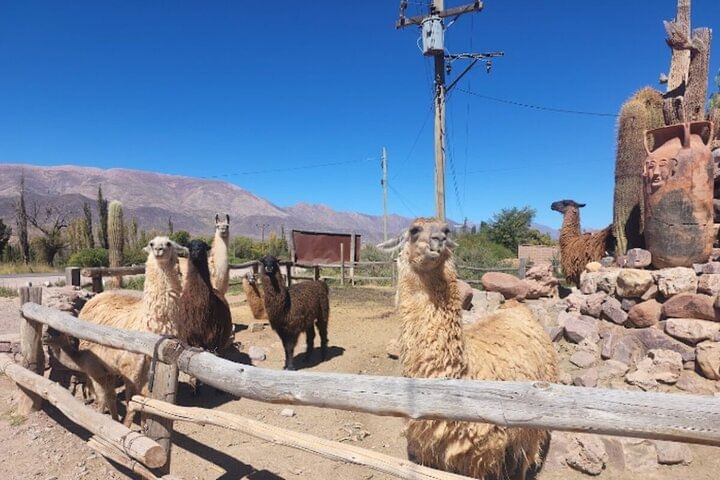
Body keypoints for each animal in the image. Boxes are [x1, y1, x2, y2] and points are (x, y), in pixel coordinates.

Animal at [75, 236, 186, 426]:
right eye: (151, 243)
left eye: (169, 243)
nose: (159, 249)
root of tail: (95, 296)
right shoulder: (132, 373)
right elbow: (131, 404)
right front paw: (128, 427)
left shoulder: (145, 376)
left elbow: (144, 404)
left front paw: (142, 426)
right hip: (94, 360)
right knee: (104, 394)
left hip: (108, 365)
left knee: (109, 393)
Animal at [380, 218, 558, 480]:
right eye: (414, 230)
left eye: (447, 230)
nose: (439, 239)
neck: (461, 372)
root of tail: (517, 307)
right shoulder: (428, 453)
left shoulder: (478, 459)